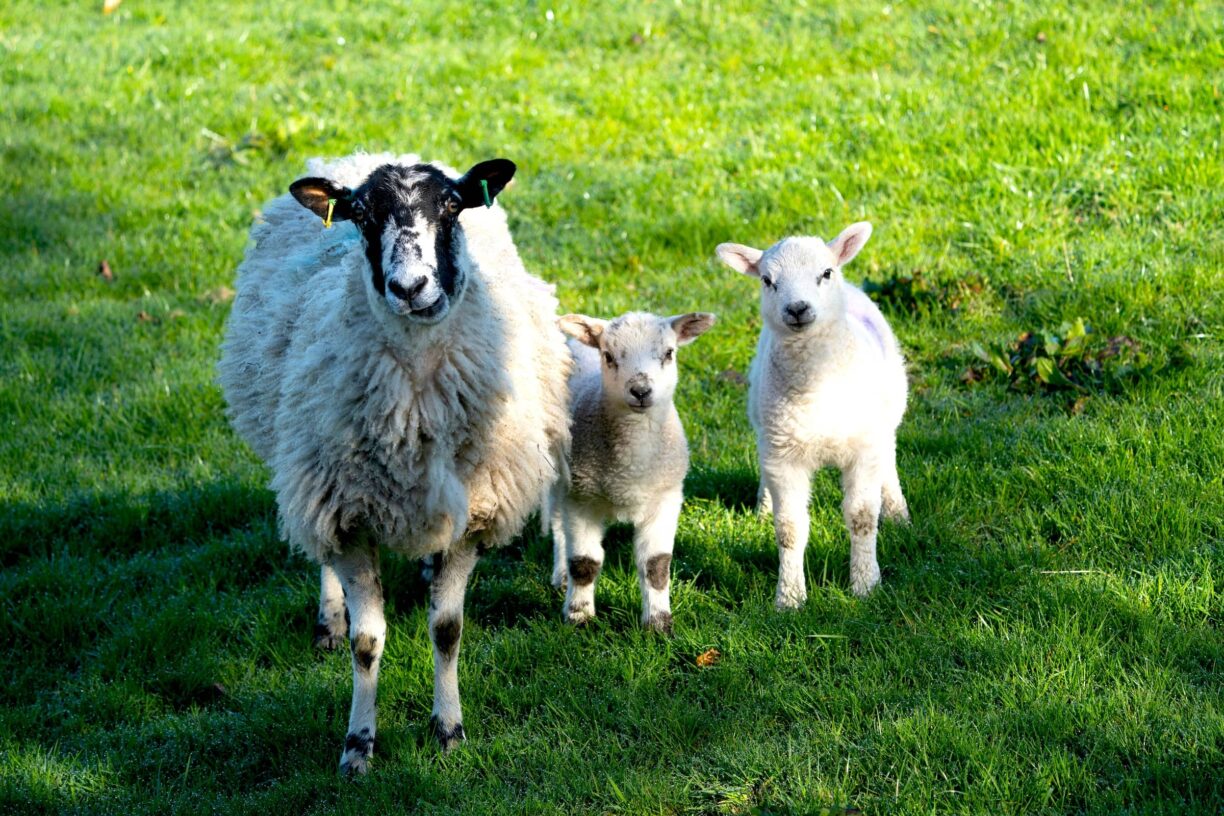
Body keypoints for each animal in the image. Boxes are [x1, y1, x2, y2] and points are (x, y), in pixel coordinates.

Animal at [217, 152, 571, 774]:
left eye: (452, 205)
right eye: (360, 215)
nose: (410, 287)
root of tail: (361, 154)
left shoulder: (475, 510)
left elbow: (447, 628)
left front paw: (449, 730)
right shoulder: (346, 513)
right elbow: (368, 642)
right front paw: (358, 746)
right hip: (310, 469)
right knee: (325, 563)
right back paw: (330, 620)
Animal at [548, 311, 715, 633]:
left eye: (669, 353)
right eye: (609, 356)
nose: (640, 390)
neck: (630, 470)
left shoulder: (666, 499)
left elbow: (656, 564)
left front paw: (659, 624)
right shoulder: (581, 498)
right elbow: (584, 562)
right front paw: (579, 617)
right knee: (558, 525)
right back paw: (561, 576)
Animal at [716, 222, 909, 608]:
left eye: (826, 273)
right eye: (767, 280)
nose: (797, 308)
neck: (814, 385)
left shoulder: (863, 449)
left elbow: (862, 518)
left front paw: (866, 585)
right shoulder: (784, 456)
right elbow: (789, 529)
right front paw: (790, 598)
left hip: (886, 416)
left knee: (889, 457)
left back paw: (898, 511)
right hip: (765, 424)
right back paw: (762, 507)